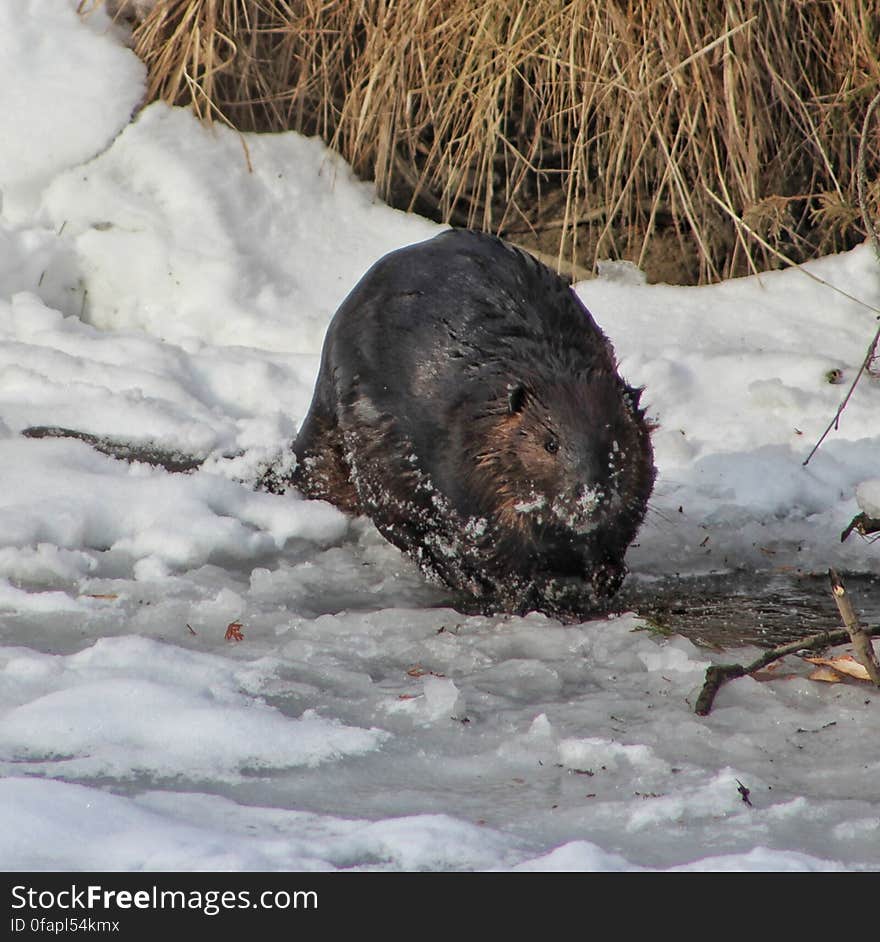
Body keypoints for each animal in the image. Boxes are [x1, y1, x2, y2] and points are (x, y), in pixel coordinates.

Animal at [288, 225, 652, 616]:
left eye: (613, 439)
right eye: (550, 444)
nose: (590, 498)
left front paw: (606, 577)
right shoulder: (464, 463)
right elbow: (488, 541)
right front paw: (527, 593)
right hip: (369, 436)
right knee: (399, 522)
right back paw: (459, 576)